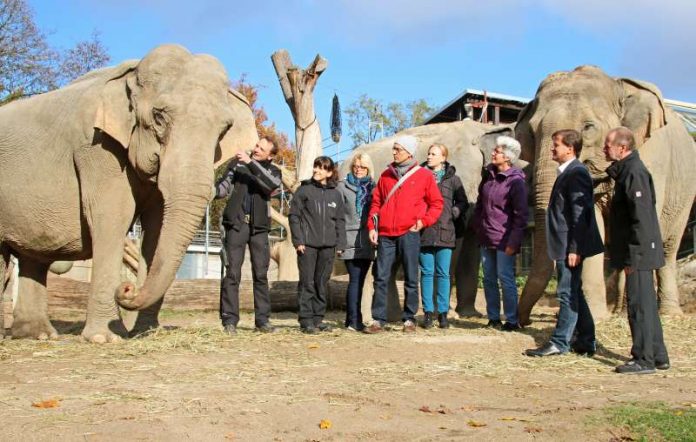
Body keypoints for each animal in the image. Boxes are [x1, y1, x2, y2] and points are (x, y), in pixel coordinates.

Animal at [0, 45, 258, 342]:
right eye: (159, 117)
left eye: (224, 129)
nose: (126, 289)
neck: (129, 74)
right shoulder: (96, 146)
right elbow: (114, 216)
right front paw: (106, 338)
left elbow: (157, 227)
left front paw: (146, 331)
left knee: (33, 257)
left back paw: (39, 335)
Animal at [340, 121, 512, 318]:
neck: (483, 127)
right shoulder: (465, 169)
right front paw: (447, 314)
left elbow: (471, 248)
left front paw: (470, 314)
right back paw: (369, 318)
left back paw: (393, 316)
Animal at [516, 64, 696, 324]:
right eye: (531, 132)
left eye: (588, 127)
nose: (525, 321)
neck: (617, 85)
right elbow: (591, 227)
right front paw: (597, 316)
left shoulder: (652, 159)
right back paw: (617, 310)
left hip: (684, 196)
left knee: (667, 247)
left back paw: (667, 313)